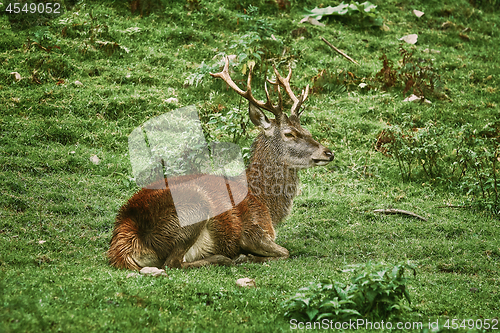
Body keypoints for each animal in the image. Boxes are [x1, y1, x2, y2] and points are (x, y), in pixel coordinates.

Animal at [108, 57, 336, 270]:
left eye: (306, 130)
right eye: (289, 134)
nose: (329, 152)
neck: (266, 204)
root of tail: (125, 242)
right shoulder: (253, 230)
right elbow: (285, 252)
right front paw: (247, 257)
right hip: (193, 207)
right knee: (172, 262)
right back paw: (225, 258)